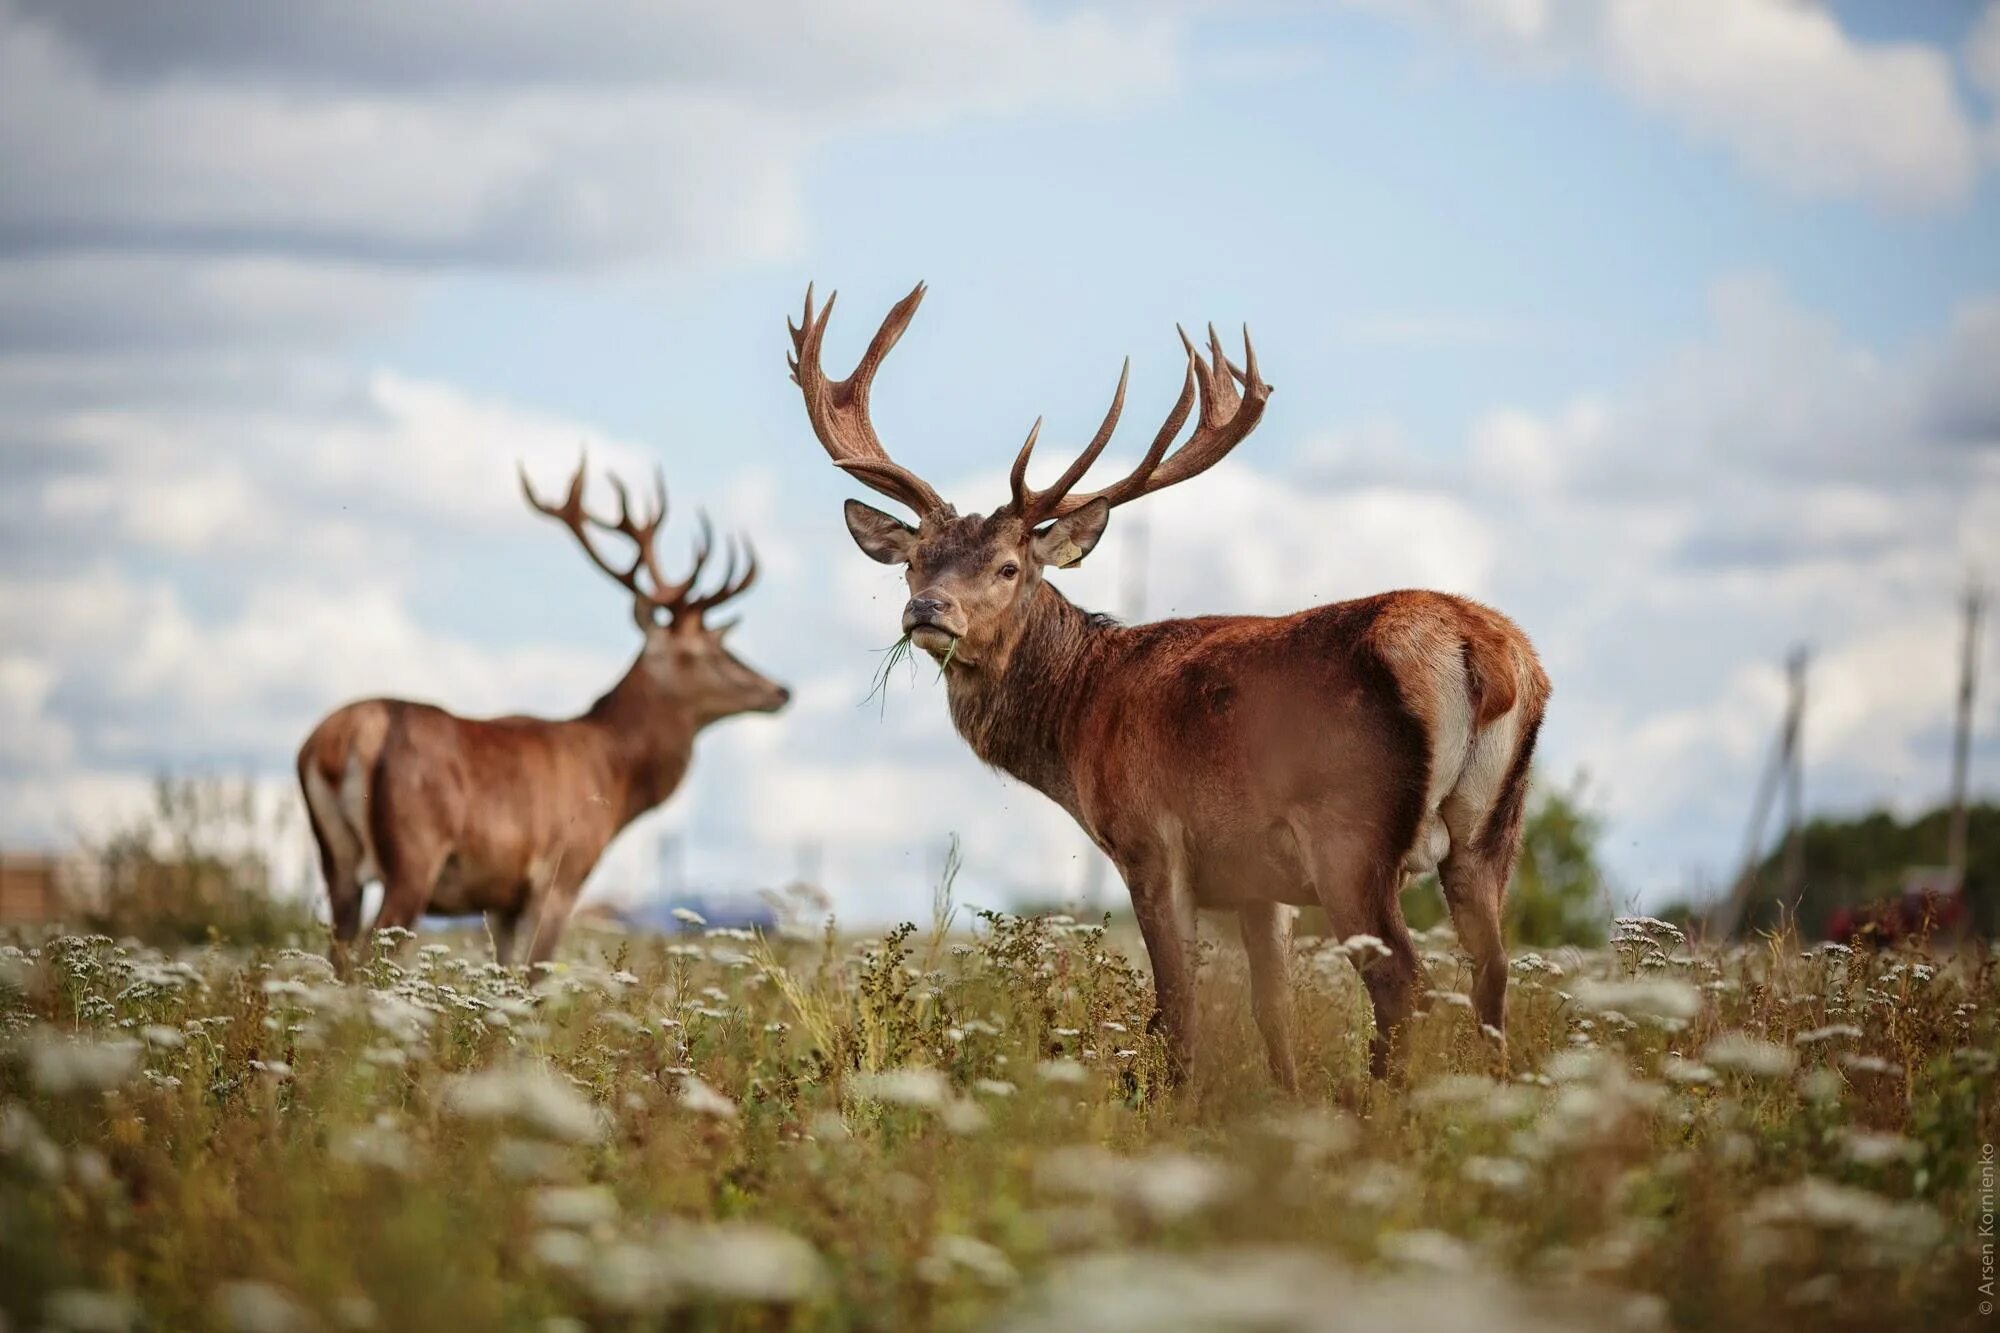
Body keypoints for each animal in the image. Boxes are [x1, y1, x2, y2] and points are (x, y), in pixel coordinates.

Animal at [296, 462, 788, 960]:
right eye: (704, 651)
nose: (780, 690)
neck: (614, 778)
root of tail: (340, 739)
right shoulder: (561, 874)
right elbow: (535, 972)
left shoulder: (501, 900)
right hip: (414, 853)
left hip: (336, 862)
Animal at [792, 286, 1544, 1088]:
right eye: (914, 561)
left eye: (1008, 566)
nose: (927, 611)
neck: (1082, 712)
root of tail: (1484, 652)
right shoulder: (1258, 880)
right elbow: (1271, 1008)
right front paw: (1290, 1103)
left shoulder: (1151, 841)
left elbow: (1178, 1009)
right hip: (1491, 831)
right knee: (1492, 973)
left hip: (1352, 830)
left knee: (1403, 980)